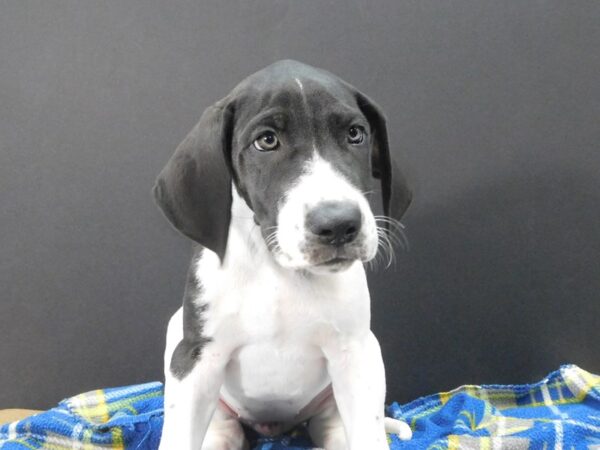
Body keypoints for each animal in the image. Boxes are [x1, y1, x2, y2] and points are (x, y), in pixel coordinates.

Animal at [154, 60, 412, 450]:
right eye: (266, 141)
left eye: (355, 134)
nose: (339, 225)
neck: (278, 269)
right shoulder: (196, 358)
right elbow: (179, 437)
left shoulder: (356, 355)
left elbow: (368, 434)